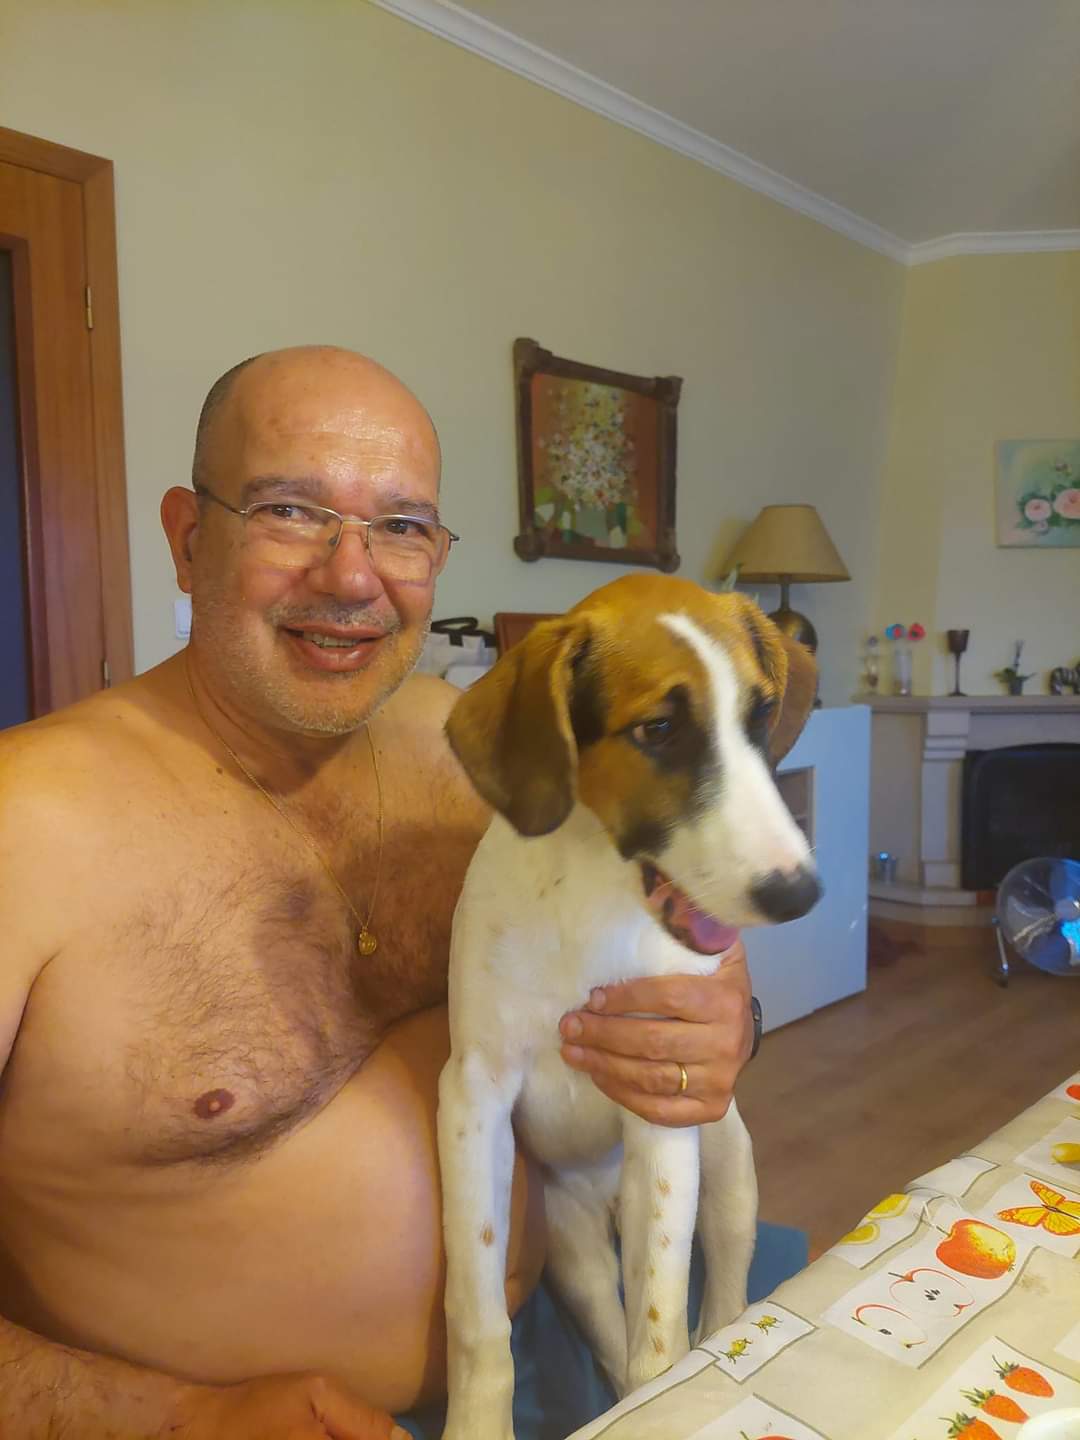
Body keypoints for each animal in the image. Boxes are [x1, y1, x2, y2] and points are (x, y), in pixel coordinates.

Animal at [438, 574, 821, 1440]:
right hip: (569, 1249)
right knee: (609, 1349)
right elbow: (477, 1312)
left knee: (716, 1297)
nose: (801, 895)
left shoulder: (661, 1104)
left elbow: (659, 1335)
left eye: (760, 717)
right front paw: (477, 1422)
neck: (591, 888)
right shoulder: (473, 1098)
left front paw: (668, 1403)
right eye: (658, 729)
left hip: (725, 1166)